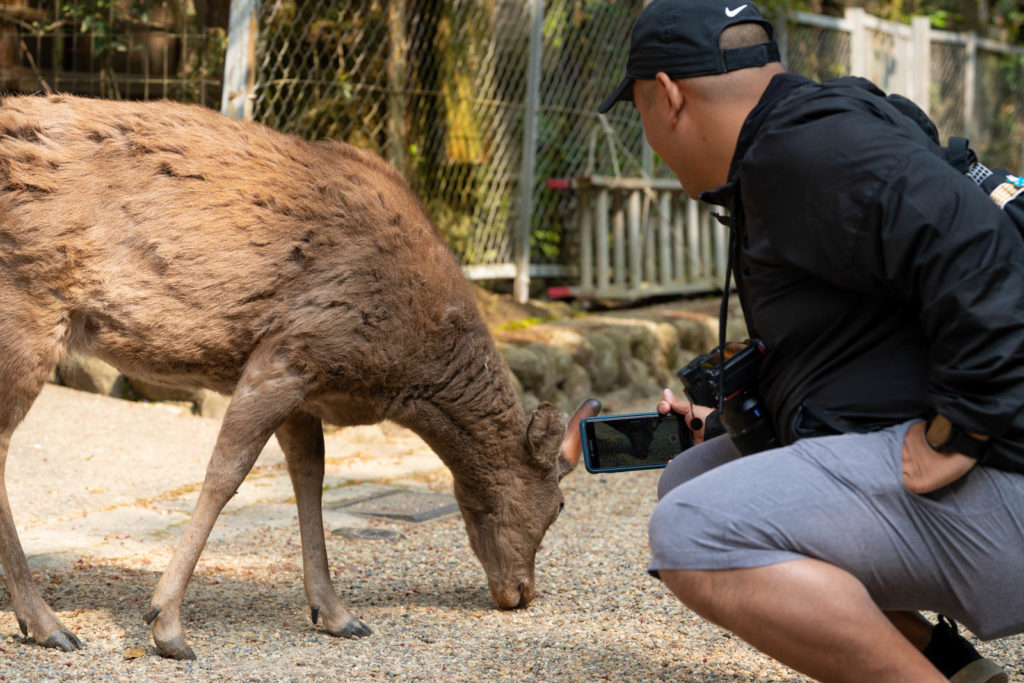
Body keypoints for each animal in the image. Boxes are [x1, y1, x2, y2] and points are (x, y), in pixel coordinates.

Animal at [0, 94, 601, 659]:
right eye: (559, 505)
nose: (521, 592)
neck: (405, 373)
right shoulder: (290, 351)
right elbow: (227, 473)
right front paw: (166, 624)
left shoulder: (309, 388)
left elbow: (310, 474)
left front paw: (335, 614)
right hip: (26, 313)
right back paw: (47, 624)